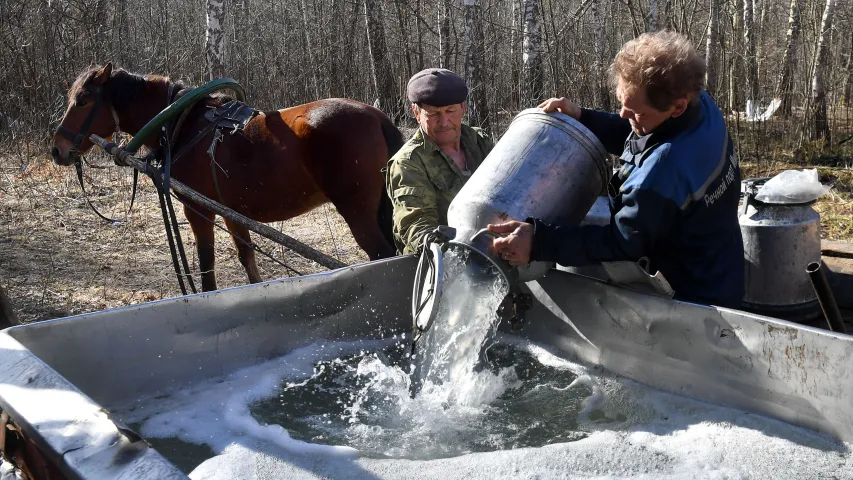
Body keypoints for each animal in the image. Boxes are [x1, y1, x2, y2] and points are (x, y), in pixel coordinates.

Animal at [51, 62, 402, 290]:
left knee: (384, 257)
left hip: (357, 212)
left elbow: (206, 266)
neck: (183, 124)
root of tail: (377, 117)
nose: (58, 149)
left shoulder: (199, 211)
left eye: (82, 100)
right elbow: (248, 259)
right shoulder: (233, 213)